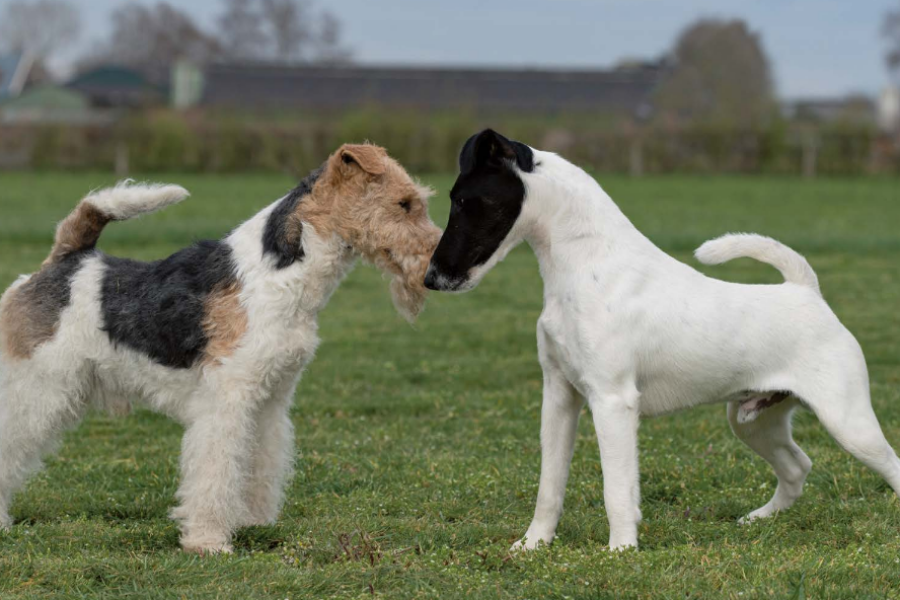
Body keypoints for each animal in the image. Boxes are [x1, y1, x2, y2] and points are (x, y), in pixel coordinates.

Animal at [0, 144, 442, 552]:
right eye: (404, 203)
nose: (436, 269)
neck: (281, 276)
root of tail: (66, 262)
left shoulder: (270, 398)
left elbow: (260, 462)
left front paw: (254, 521)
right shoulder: (226, 398)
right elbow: (217, 471)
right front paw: (208, 541)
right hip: (39, 387)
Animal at [424, 129, 900, 552]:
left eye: (464, 200)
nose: (430, 278)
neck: (588, 262)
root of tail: (807, 291)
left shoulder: (612, 402)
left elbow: (617, 489)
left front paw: (621, 550)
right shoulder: (559, 397)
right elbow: (549, 486)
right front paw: (533, 544)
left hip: (848, 422)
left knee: (886, 466)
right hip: (752, 420)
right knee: (797, 467)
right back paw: (757, 519)